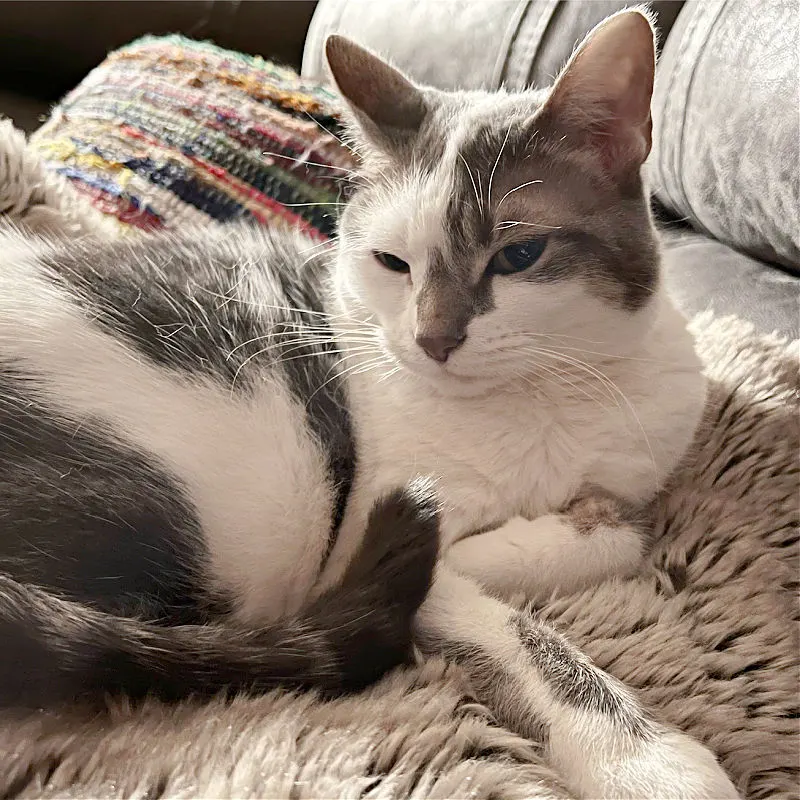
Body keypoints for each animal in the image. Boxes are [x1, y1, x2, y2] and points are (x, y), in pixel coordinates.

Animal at [0, 7, 736, 800]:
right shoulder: (379, 533)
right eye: (392, 262)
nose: (432, 338)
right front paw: (643, 759)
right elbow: (514, 620)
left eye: (518, 257)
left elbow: (618, 524)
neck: (542, 393)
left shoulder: (645, 451)